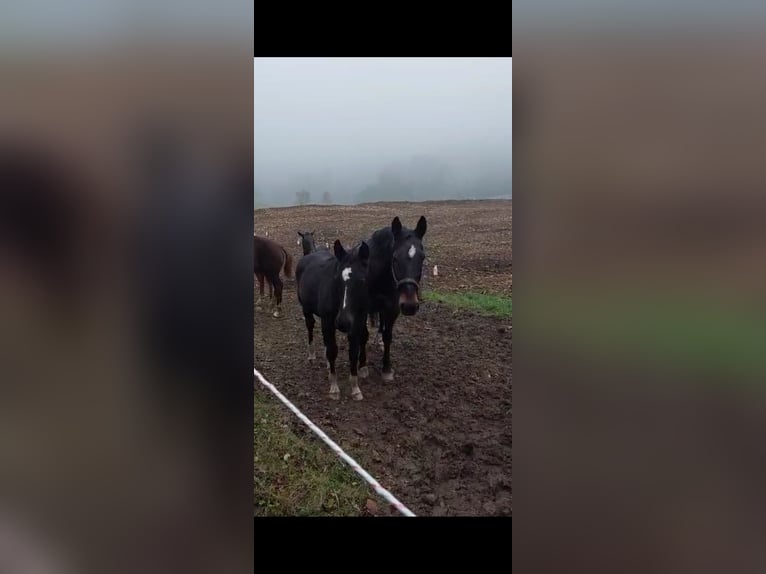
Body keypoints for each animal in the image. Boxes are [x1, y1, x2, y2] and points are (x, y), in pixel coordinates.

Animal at [296, 238, 372, 400]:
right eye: (337, 279)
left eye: (362, 280)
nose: (343, 322)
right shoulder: (328, 321)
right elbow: (332, 350)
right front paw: (334, 388)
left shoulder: (357, 323)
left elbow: (353, 352)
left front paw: (355, 389)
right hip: (307, 310)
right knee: (310, 326)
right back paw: (312, 355)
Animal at [364, 216, 426, 382]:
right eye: (395, 258)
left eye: (422, 257)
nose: (410, 305)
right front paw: (362, 366)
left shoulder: (392, 309)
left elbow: (388, 336)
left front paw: (386, 368)